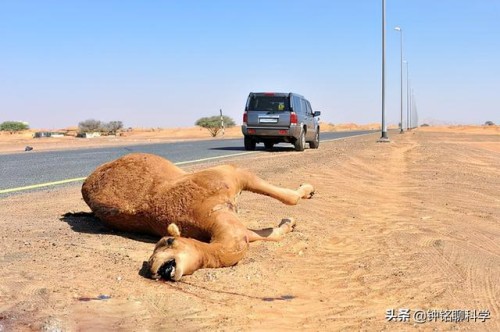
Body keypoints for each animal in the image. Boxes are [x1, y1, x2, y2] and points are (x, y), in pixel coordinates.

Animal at [80, 153, 314, 280]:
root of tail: (86, 182)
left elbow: (287, 203)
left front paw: (304, 196)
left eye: (168, 241)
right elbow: (271, 228)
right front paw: (292, 219)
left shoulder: (232, 175)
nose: (154, 267)